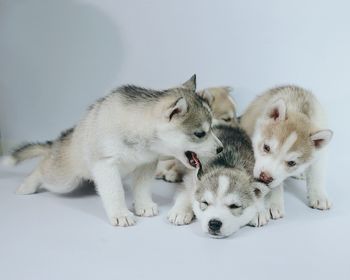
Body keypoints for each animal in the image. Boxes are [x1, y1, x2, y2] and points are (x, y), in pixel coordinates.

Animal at [4, 75, 223, 226]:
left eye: (212, 127)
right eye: (200, 133)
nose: (221, 148)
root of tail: (61, 141)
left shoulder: (147, 163)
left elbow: (142, 187)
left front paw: (143, 205)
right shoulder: (106, 165)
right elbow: (115, 192)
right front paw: (121, 214)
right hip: (63, 180)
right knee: (42, 167)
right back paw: (27, 185)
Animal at [241, 85, 334, 225]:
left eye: (292, 163)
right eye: (266, 147)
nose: (264, 177)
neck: (300, 109)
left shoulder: (320, 154)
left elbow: (317, 174)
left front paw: (319, 195)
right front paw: (268, 206)